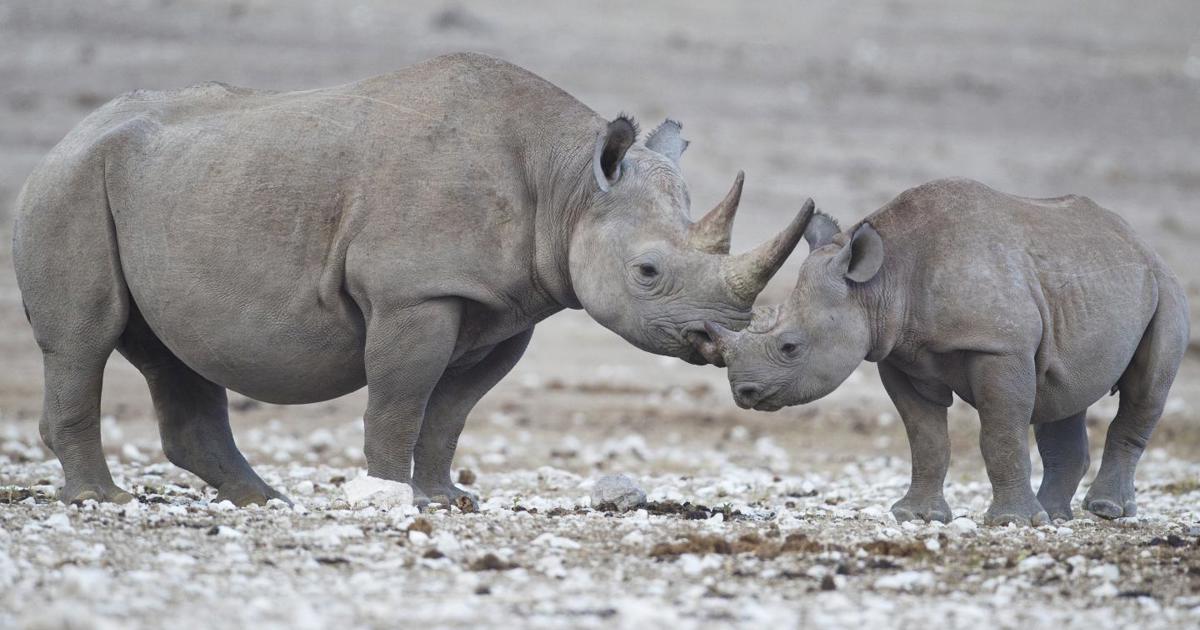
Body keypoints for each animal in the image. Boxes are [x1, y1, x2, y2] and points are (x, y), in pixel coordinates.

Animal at [14, 52, 811, 506]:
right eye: (647, 272)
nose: (717, 339)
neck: (567, 184)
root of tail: (64, 140)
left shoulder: (504, 309)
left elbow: (451, 413)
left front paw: (446, 499)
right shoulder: (414, 292)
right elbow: (400, 399)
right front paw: (394, 497)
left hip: (160, 185)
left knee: (171, 350)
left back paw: (265, 503)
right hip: (68, 186)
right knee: (84, 338)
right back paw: (104, 501)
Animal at [700, 177, 1185, 525]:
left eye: (790, 346)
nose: (743, 392)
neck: (881, 282)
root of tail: (1140, 242)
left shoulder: (1000, 346)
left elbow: (1000, 433)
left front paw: (1012, 523)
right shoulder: (897, 354)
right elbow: (925, 437)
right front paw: (916, 516)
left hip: (1165, 287)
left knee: (1145, 389)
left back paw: (1104, 512)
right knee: (1063, 395)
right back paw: (1054, 516)